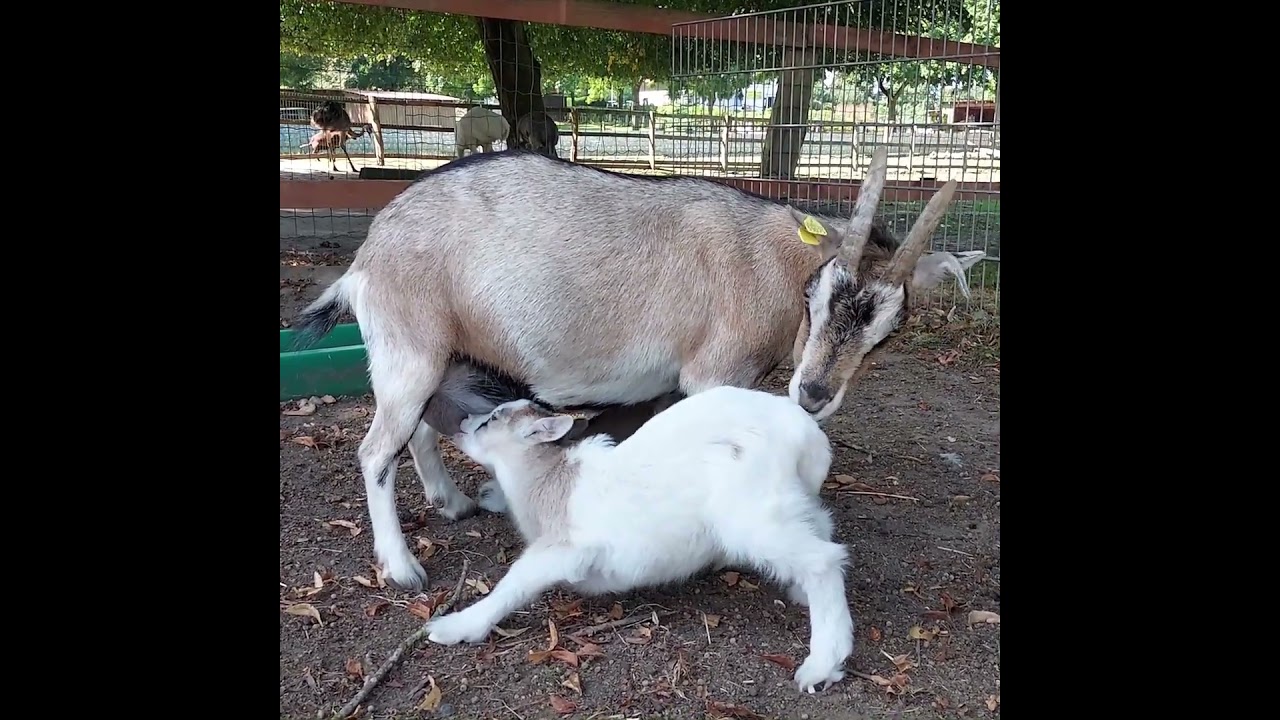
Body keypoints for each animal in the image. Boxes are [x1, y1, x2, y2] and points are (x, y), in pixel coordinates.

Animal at [291, 147, 983, 590]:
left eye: (888, 331)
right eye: (817, 293)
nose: (814, 393)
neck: (773, 259)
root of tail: (366, 257)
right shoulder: (712, 372)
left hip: (440, 356)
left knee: (421, 431)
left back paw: (453, 503)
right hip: (410, 350)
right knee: (376, 450)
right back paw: (403, 569)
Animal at [426, 387, 852, 693]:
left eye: (493, 419)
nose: (462, 422)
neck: (552, 484)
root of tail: (806, 435)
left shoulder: (565, 551)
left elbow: (513, 583)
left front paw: (453, 627)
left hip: (752, 516)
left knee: (823, 559)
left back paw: (823, 664)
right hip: (787, 500)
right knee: (822, 528)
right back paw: (800, 594)